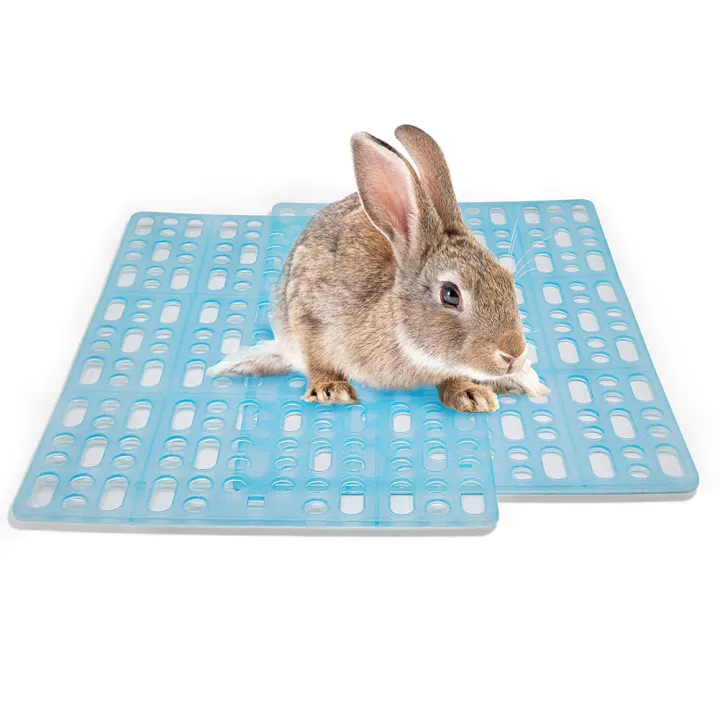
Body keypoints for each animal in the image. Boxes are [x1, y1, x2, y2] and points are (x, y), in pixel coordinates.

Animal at [207, 125, 549, 412]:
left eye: (507, 279)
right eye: (451, 294)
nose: (513, 354)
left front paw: (471, 395)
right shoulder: (308, 315)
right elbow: (318, 361)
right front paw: (331, 390)